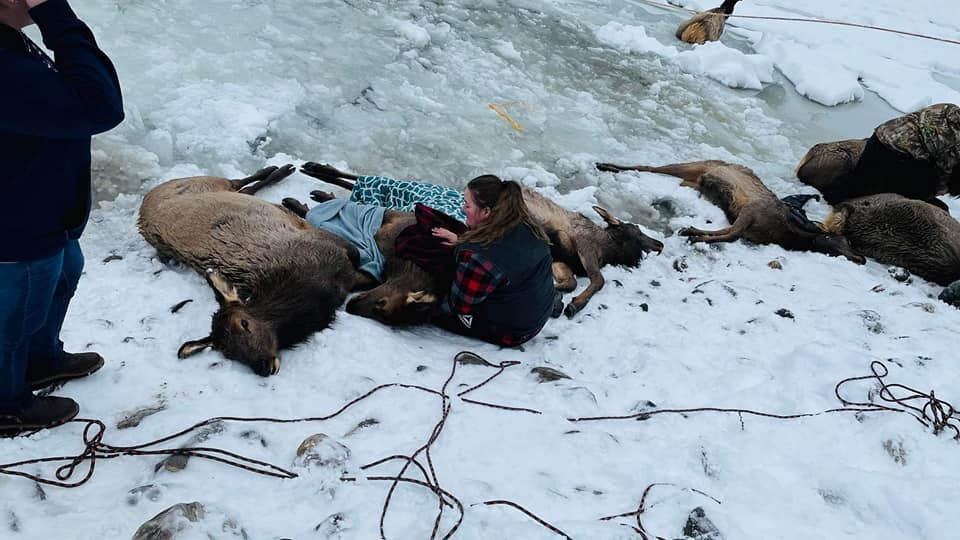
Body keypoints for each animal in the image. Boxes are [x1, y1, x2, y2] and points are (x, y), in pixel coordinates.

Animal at [137, 165, 358, 376]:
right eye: (228, 352)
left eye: (244, 323)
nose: (263, 367)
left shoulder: (333, 245)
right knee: (246, 188)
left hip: (206, 182)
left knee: (239, 181)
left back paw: (280, 169)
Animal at [296, 162, 664, 318]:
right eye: (634, 231)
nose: (657, 244)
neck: (607, 247)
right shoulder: (584, 246)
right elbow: (597, 280)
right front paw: (573, 303)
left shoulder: (565, 258)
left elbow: (572, 280)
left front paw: (563, 296)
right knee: (367, 180)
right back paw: (315, 173)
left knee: (365, 187)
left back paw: (316, 182)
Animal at [596, 158, 868, 264]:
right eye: (844, 240)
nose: (862, 258)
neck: (788, 233)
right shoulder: (750, 211)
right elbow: (729, 234)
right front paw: (692, 232)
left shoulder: (747, 226)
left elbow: (729, 235)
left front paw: (696, 235)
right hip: (694, 164)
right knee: (649, 167)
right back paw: (605, 165)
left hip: (691, 179)